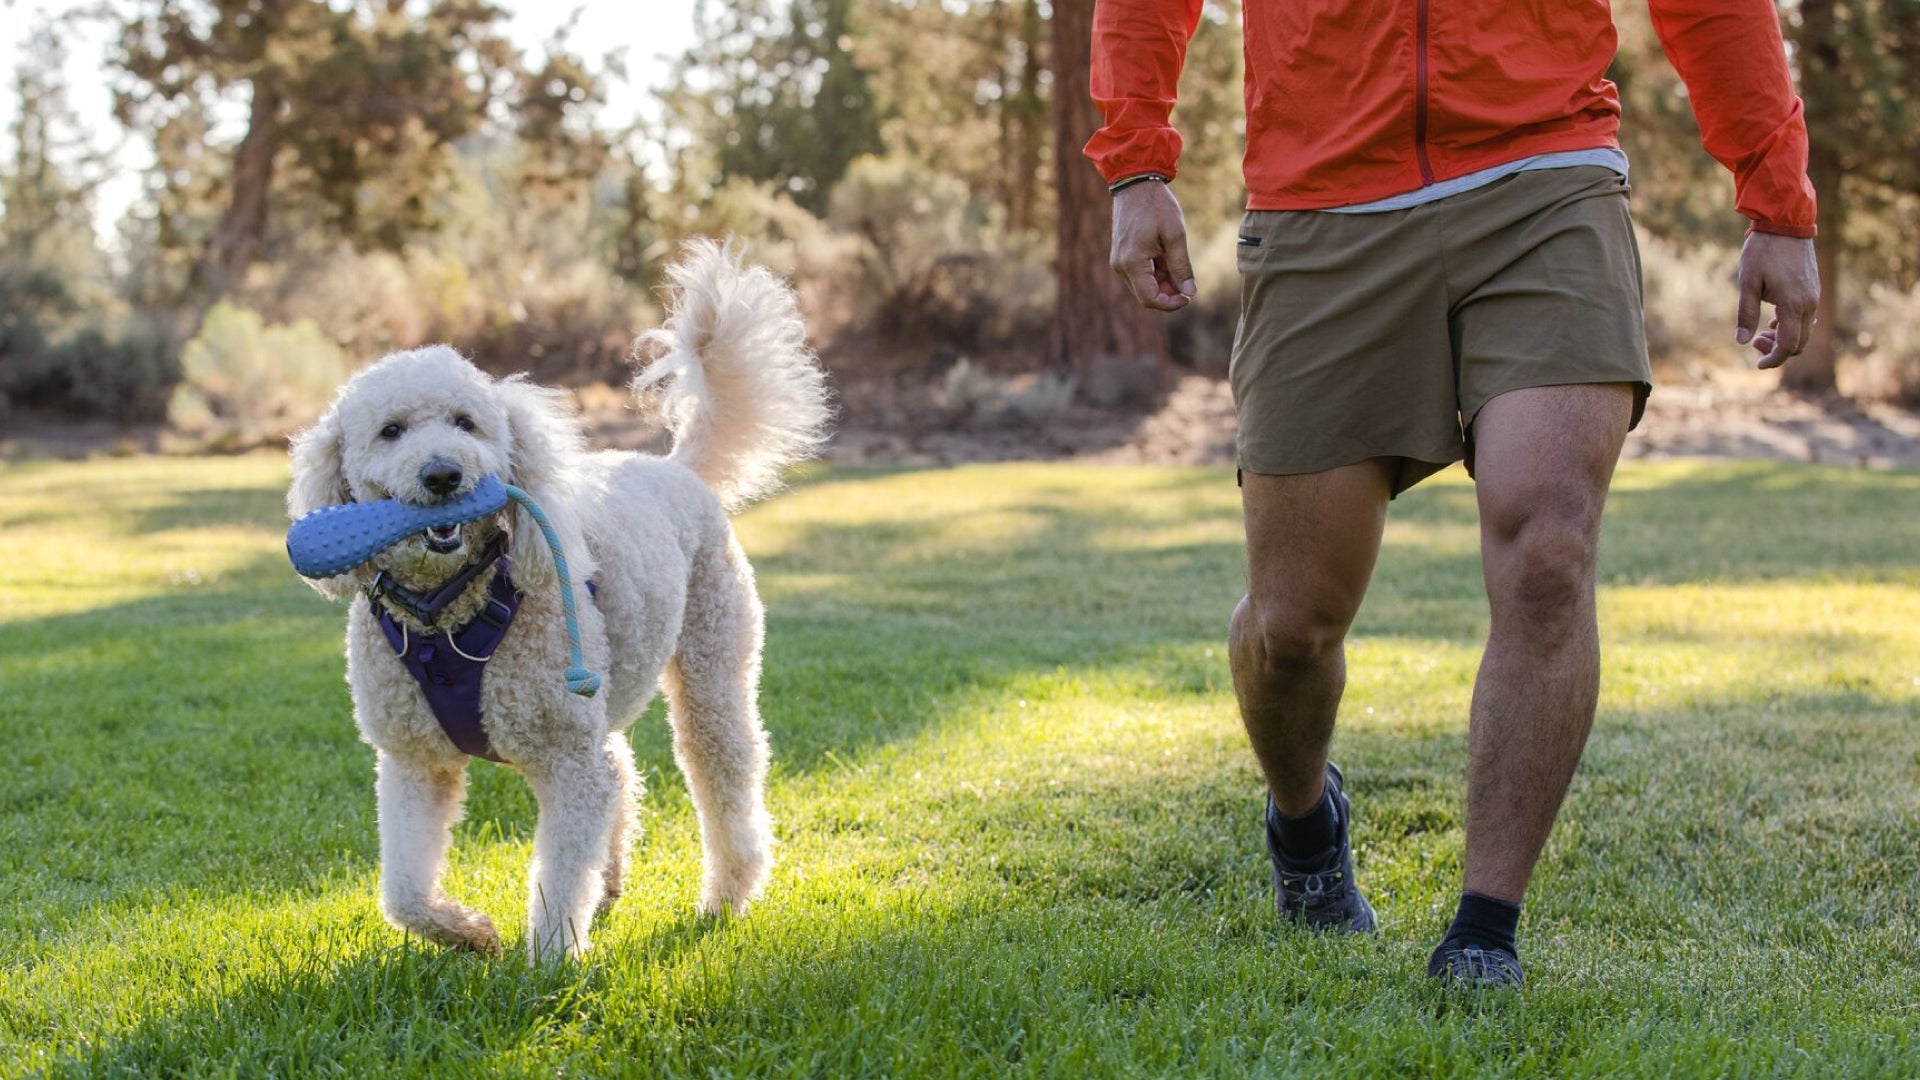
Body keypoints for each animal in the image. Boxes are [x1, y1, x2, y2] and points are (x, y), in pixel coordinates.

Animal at [288, 244, 829, 957]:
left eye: (466, 423)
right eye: (391, 431)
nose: (444, 474)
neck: (448, 615)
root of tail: (676, 467)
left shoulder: (568, 760)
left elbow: (561, 877)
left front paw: (548, 965)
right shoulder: (412, 761)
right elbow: (404, 892)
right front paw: (469, 934)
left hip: (713, 667)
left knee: (723, 776)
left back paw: (726, 897)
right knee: (622, 771)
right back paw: (614, 882)